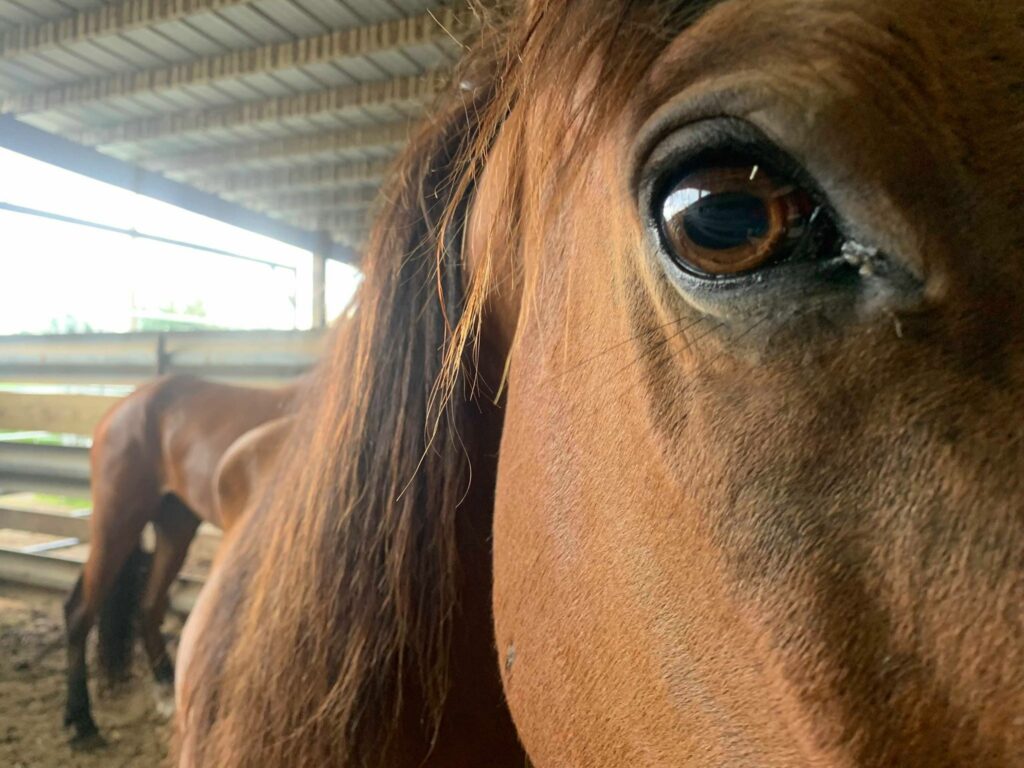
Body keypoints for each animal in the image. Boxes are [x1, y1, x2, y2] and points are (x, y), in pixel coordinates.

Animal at [63, 374, 298, 746]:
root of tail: (124, 406)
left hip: (175, 526)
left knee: (148, 604)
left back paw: (165, 690)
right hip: (117, 519)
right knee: (80, 612)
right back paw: (83, 723)